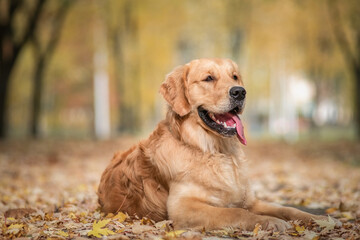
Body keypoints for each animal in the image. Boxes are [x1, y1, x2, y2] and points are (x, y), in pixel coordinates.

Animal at [97, 58, 326, 231]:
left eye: (234, 76)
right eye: (208, 78)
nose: (240, 92)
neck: (214, 150)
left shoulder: (251, 200)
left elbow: (286, 209)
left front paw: (319, 218)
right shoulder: (183, 207)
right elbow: (236, 212)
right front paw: (270, 222)